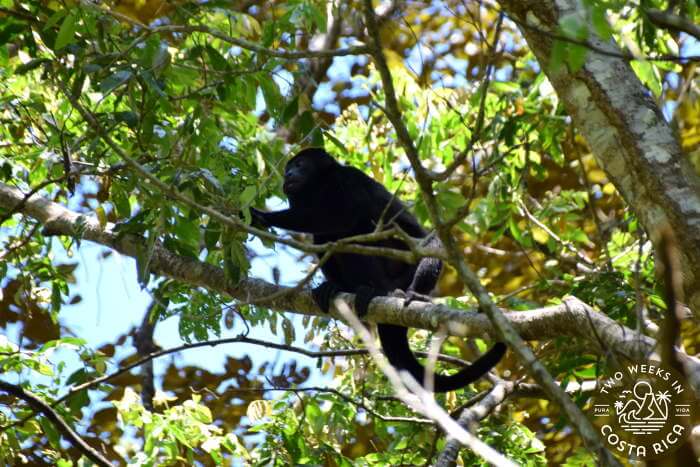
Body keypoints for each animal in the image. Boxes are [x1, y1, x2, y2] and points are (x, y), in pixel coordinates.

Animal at [252, 148, 506, 392]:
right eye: (288, 168)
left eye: (299, 164)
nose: (288, 174)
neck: (320, 185)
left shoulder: (347, 179)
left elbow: (342, 216)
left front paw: (260, 215)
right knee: (324, 236)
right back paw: (337, 287)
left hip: (401, 276)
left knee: (376, 233)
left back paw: (384, 291)